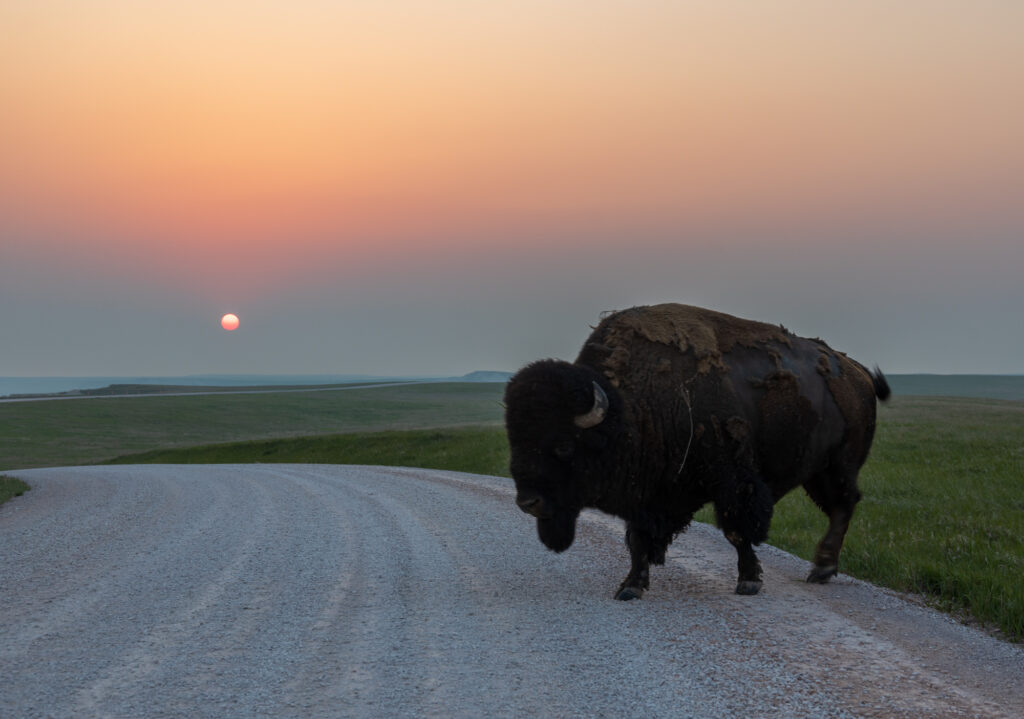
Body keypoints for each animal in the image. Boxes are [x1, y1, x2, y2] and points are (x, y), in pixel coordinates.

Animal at [504, 303, 890, 598]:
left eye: (563, 445)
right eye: (515, 440)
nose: (527, 502)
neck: (629, 410)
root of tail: (855, 372)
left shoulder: (732, 481)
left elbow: (736, 530)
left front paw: (748, 581)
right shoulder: (647, 492)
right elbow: (637, 538)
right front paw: (630, 586)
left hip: (839, 465)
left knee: (843, 505)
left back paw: (822, 568)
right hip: (817, 472)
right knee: (840, 505)